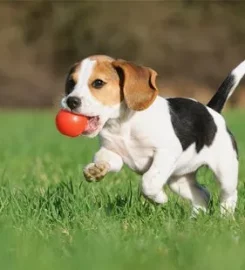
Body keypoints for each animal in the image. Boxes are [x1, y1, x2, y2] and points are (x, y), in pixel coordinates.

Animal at [60, 54, 245, 215]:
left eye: (98, 83)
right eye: (71, 82)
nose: (71, 101)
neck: (123, 124)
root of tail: (212, 111)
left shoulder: (166, 152)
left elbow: (148, 181)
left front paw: (159, 199)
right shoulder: (112, 152)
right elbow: (105, 158)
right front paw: (96, 169)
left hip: (225, 171)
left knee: (228, 195)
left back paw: (225, 217)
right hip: (179, 179)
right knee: (202, 195)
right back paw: (194, 219)